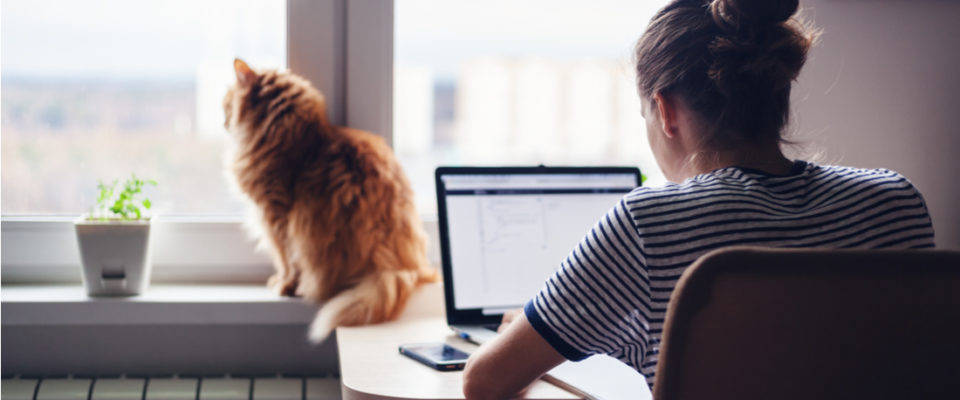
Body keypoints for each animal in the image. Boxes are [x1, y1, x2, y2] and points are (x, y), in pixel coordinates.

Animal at [221, 57, 438, 342]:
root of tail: (398, 265)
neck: (295, 136)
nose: (223, 122)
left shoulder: (275, 215)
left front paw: (284, 285)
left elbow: (285, 260)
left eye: (226, 104)